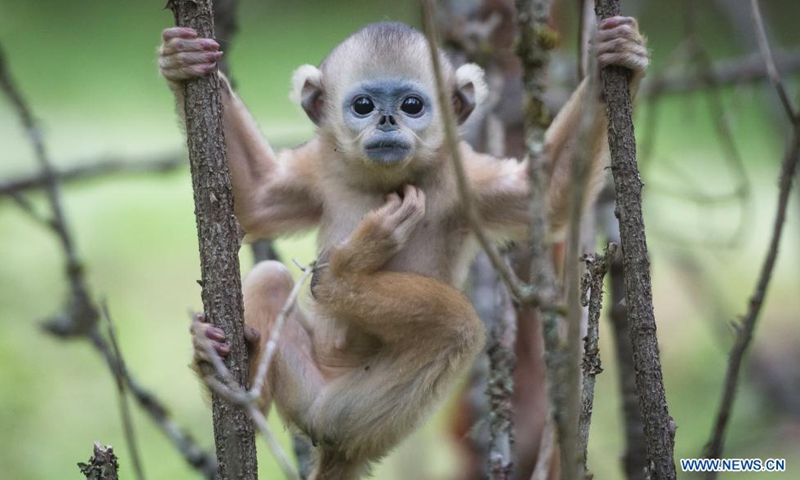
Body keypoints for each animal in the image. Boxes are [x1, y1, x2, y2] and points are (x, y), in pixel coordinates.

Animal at [159, 17, 648, 480]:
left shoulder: (463, 177)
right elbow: (258, 199)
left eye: (412, 106)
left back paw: (344, 275)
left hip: (349, 413)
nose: (388, 122)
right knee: (271, 277)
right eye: (363, 106)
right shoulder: (321, 165)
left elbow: (547, 200)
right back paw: (229, 376)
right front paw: (184, 61)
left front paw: (615, 57)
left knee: (455, 325)